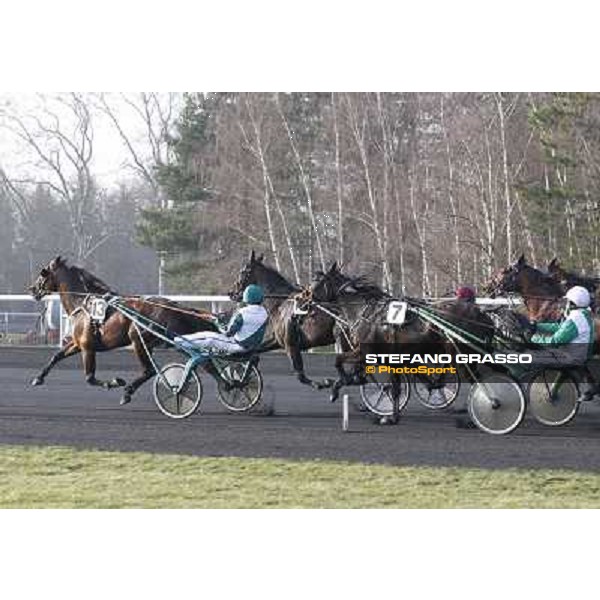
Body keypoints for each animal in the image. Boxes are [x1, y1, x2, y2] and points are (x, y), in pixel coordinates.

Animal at [29, 255, 218, 406]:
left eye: (43, 273)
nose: (32, 289)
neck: (82, 304)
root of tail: (172, 306)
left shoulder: (87, 347)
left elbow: (90, 378)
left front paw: (115, 382)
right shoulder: (77, 344)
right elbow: (56, 356)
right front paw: (38, 378)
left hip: (138, 340)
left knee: (149, 370)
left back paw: (127, 392)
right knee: (206, 364)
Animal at [227, 252, 338, 390]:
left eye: (242, 272)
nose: (231, 293)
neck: (280, 304)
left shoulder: (290, 345)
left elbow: (300, 375)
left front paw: (323, 383)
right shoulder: (277, 340)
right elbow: (253, 353)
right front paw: (240, 379)